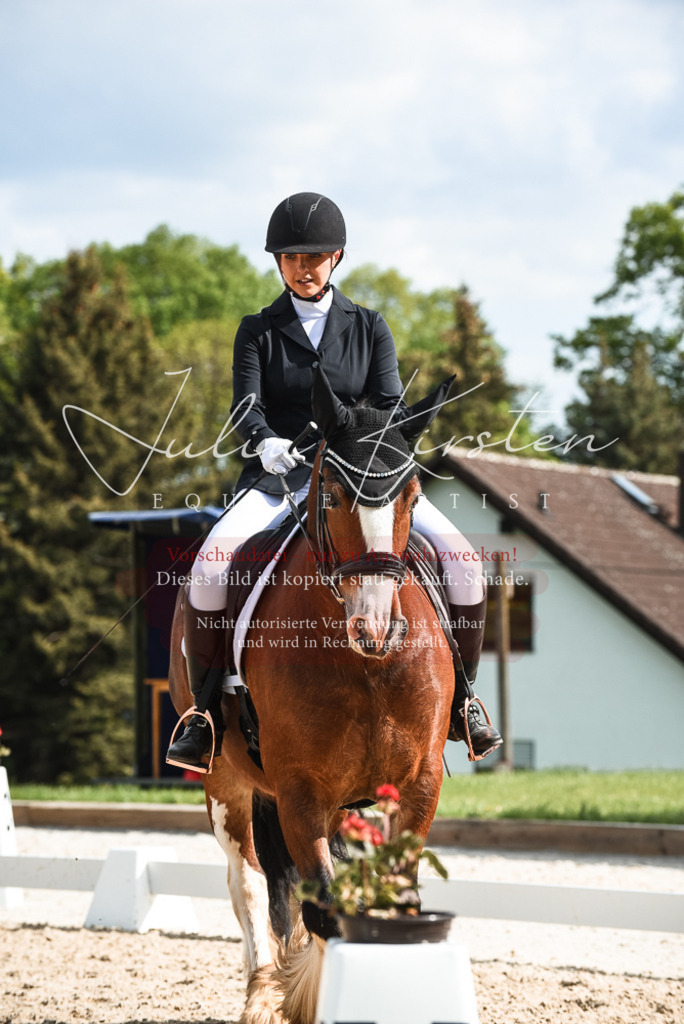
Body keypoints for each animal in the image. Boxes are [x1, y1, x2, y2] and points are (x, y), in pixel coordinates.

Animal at [168, 368, 456, 1024]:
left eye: (412, 496)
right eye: (330, 495)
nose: (376, 628)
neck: (364, 667)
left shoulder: (418, 783)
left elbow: (395, 896)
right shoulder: (299, 791)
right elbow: (322, 904)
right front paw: (305, 996)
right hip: (226, 782)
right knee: (248, 883)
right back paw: (260, 992)